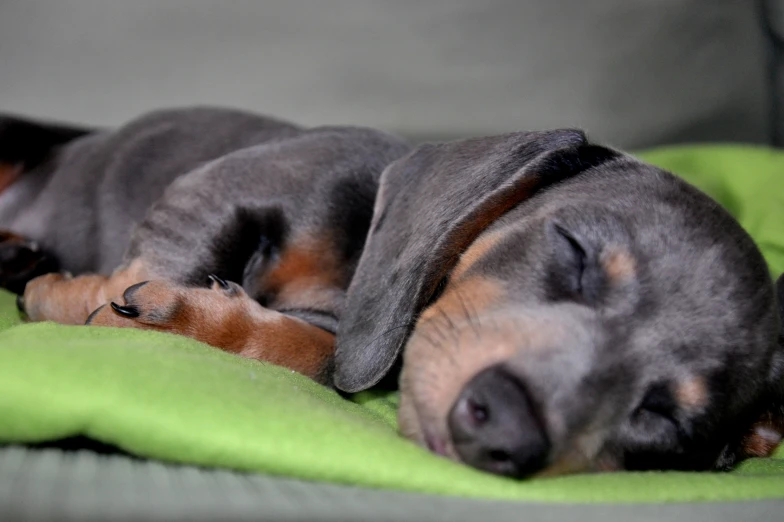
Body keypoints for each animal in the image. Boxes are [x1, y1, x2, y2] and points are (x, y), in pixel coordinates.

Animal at [1, 107, 784, 478]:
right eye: (575, 254)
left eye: (665, 421)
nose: (503, 429)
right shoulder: (222, 188)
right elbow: (175, 256)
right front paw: (83, 302)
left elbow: (315, 353)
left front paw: (185, 320)